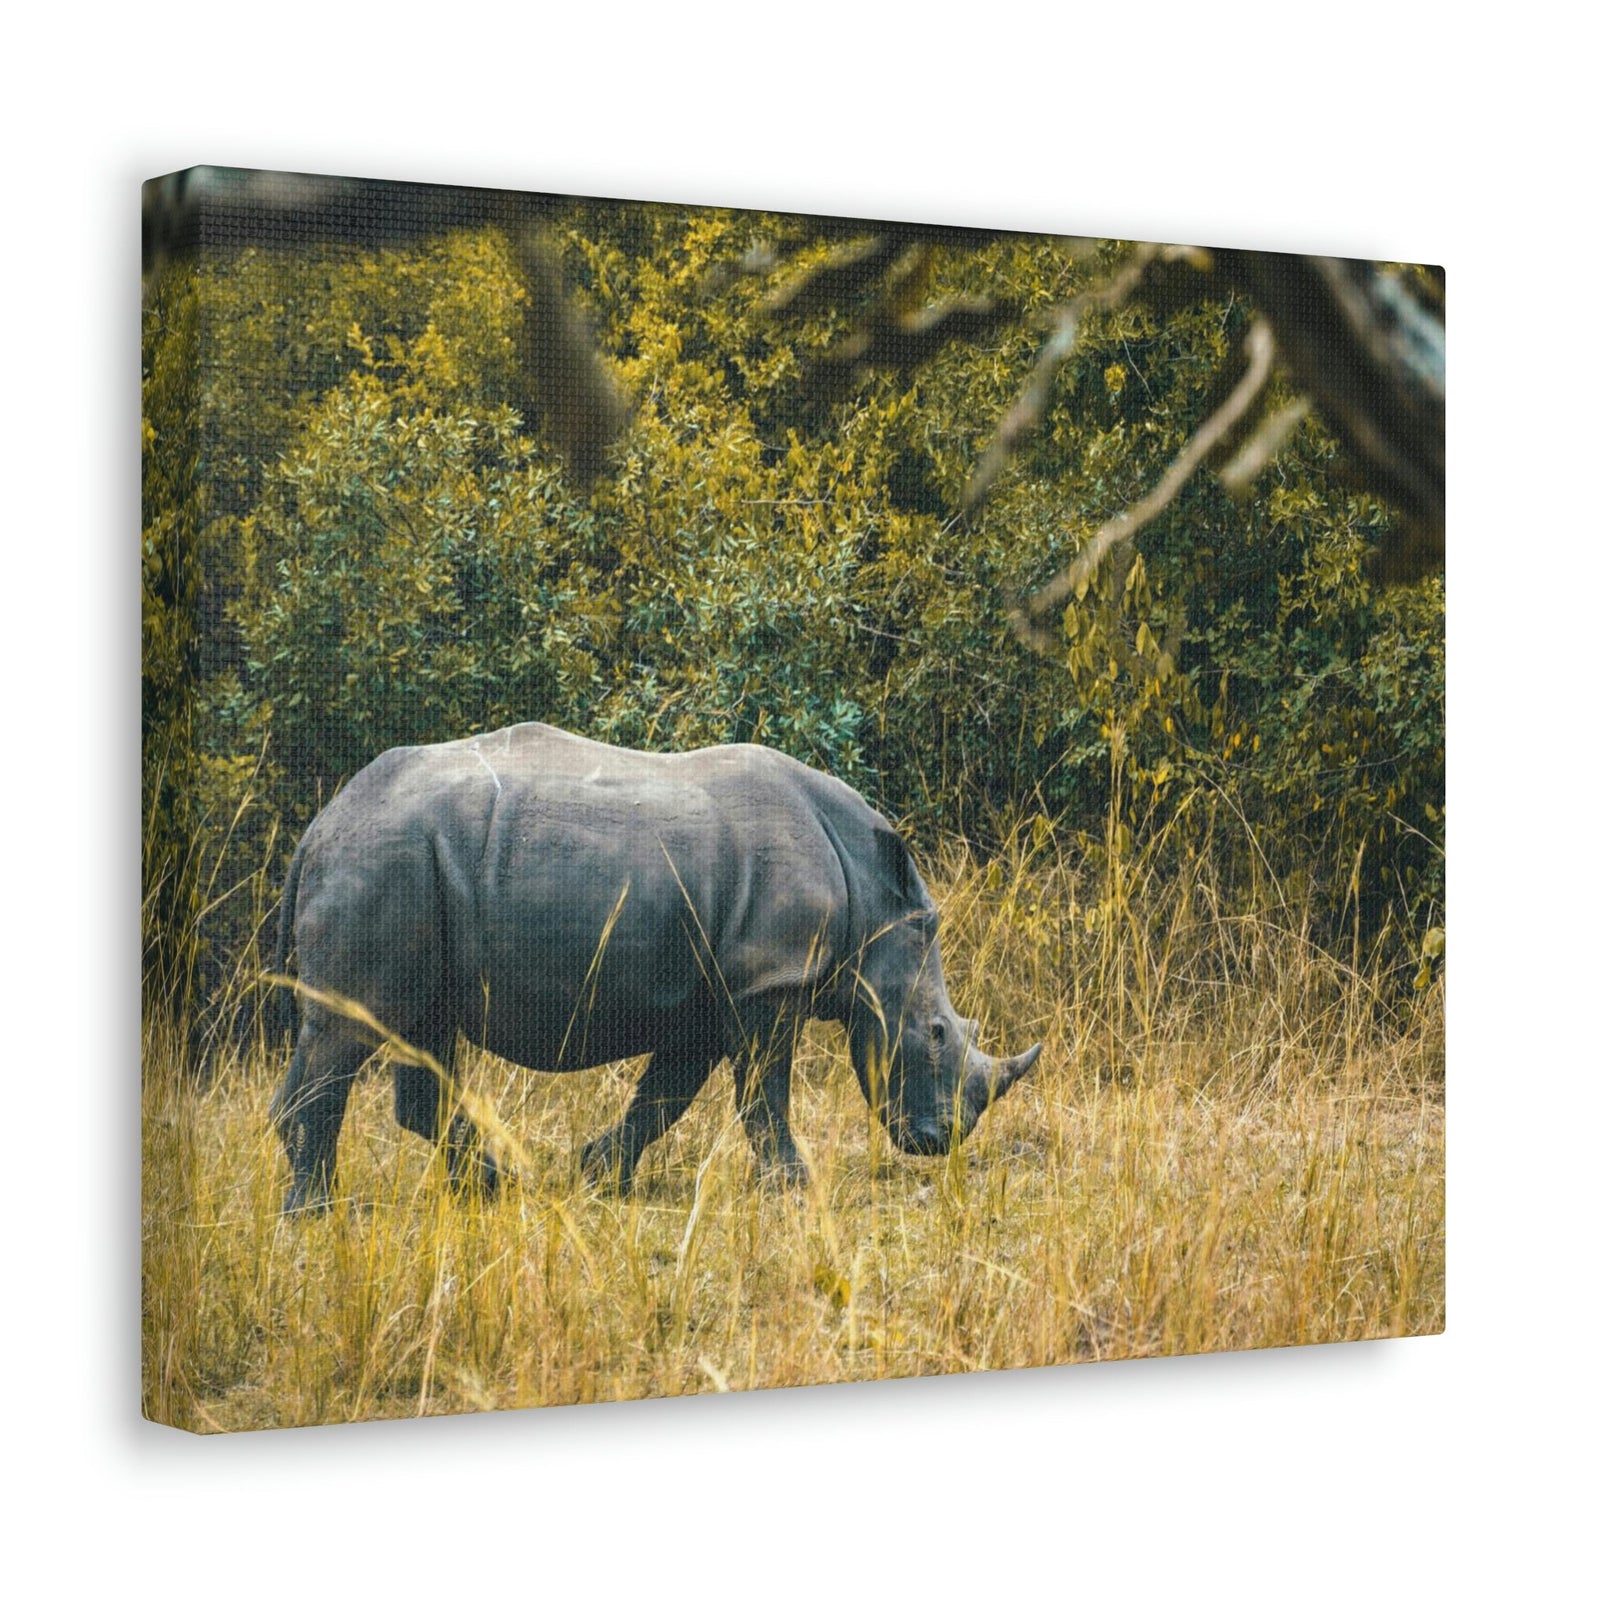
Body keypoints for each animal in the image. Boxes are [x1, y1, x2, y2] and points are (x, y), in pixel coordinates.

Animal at [269, 722, 1041, 1211]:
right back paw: (316, 1213)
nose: (938, 1144)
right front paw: (795, 1187)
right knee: (352, 1034)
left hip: (409, 869)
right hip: (384, 860)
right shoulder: (768, 979)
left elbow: (667, 1094)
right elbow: (763, 1092)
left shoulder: (717, 988)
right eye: (936, 1034)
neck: (872, 900)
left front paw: (597, 1175)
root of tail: (321, 824)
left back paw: (492, 1186)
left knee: (412, 1033)